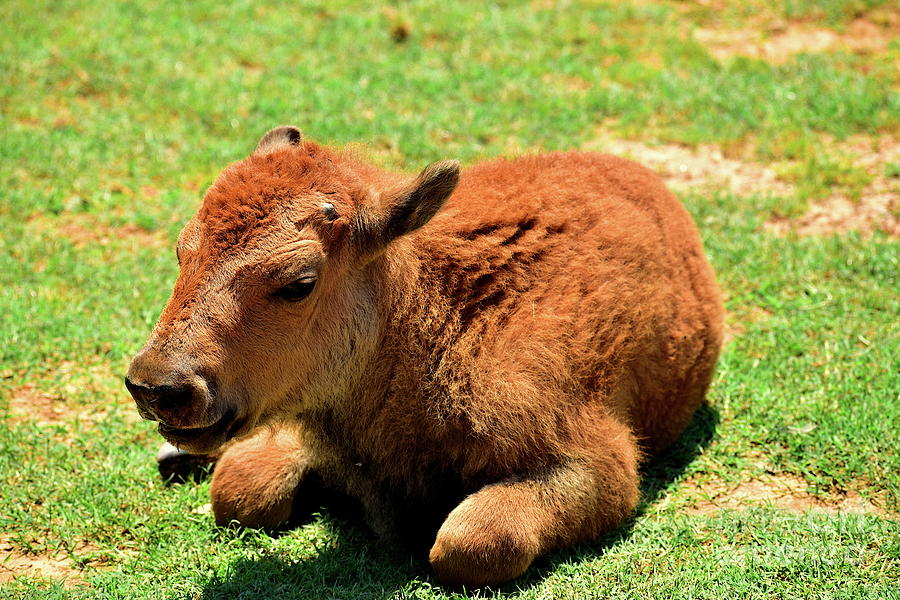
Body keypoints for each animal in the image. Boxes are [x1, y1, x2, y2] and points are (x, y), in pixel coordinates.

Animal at [125, 126, 724, 584]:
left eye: (299, 283)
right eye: (183, 251)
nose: (156, 386)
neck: (432, 324)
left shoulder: (597, 462)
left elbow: (469, 543)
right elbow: (240, 492)